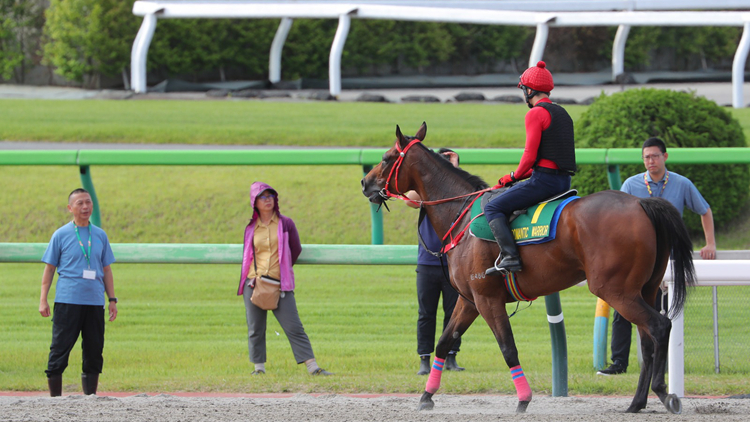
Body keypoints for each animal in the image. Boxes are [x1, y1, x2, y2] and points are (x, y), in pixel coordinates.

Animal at [362, 123, 696, 414]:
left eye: (386, 158)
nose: (365, 183)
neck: (462, 215)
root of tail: (641, 204)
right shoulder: (469, 301)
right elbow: (444, 343)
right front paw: (426, 396)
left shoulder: (487, 299)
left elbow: (508, 348)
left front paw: (523, 399)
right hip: (645, 289)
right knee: (647, 340)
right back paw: (637, 402)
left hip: (615, 290)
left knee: (659, 327)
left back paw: (663, 392)